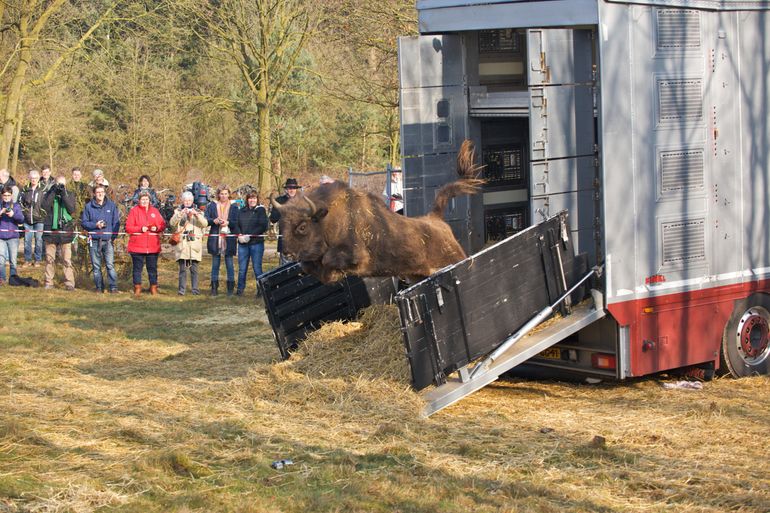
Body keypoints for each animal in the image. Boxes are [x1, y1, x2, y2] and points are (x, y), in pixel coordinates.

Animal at [270, 140, 484, 284]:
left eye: (302, 226)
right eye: (281, 223)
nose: (286, 252)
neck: (327, 218)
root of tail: (436, 219)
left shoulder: (357, 255)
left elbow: (329, 259)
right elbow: (309, 266)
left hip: (455, 259)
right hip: (417, 274)